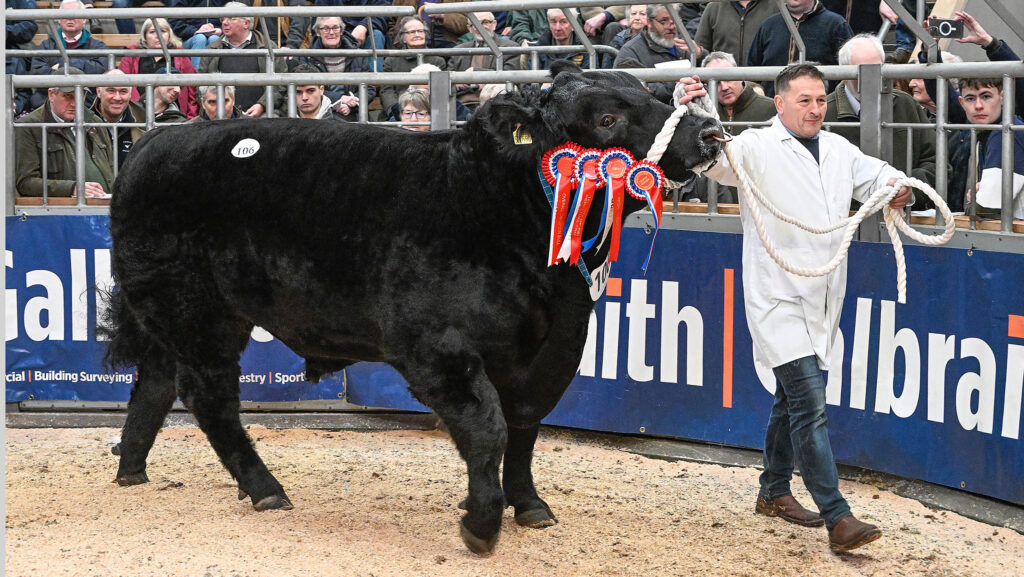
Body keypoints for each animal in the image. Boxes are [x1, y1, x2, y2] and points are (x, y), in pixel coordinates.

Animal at [104, 61, 725, 555]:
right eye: (607, 120)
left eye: (649, 92)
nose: (711, 131)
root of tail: (150, 145)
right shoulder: (436, 349)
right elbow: (488, 428)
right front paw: (481, 523)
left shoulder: (554, 347)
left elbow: (525, 426)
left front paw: (528, 505)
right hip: (196, 311)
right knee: (207, 395)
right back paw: (264, 488)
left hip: (178, 316)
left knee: (154, 383)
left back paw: (133, 469)